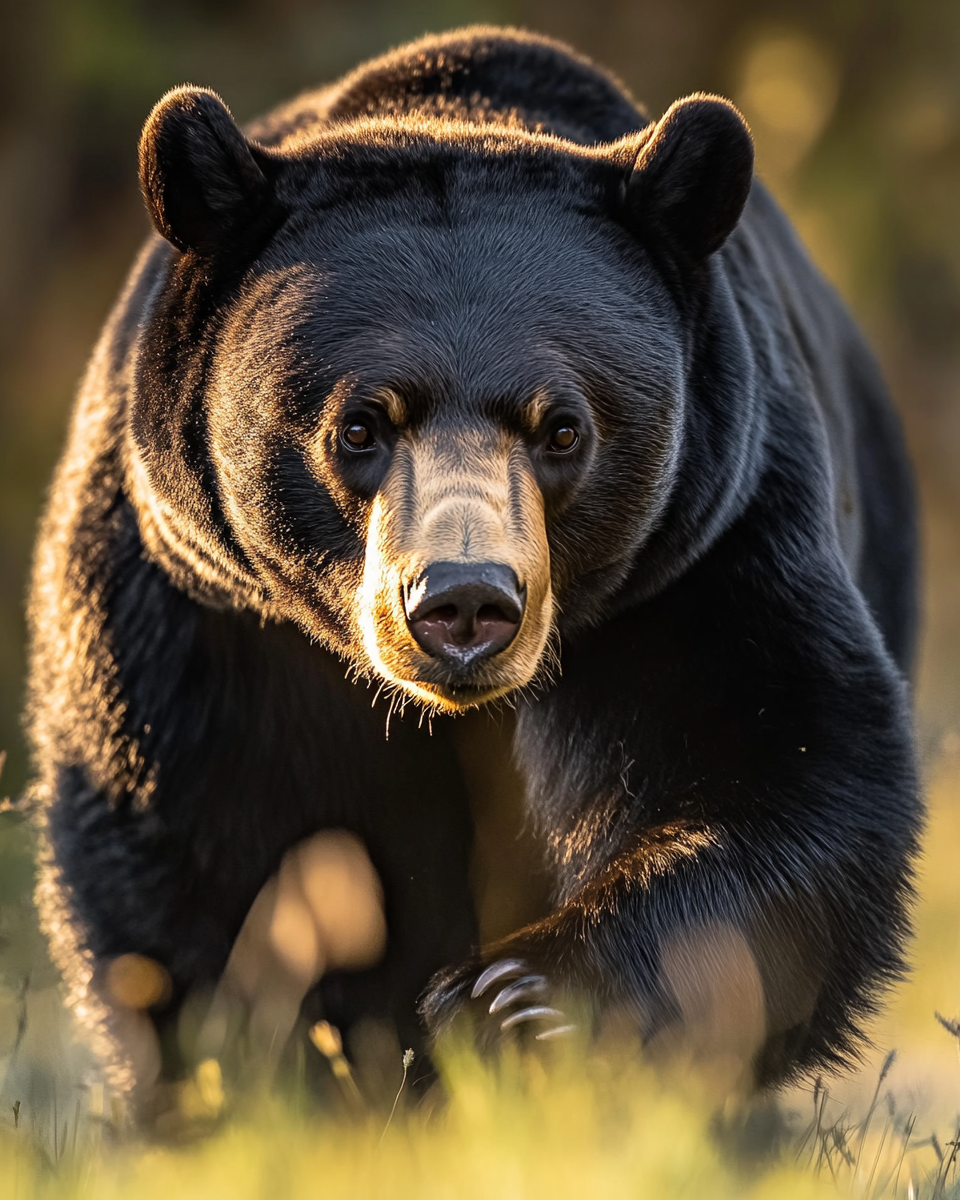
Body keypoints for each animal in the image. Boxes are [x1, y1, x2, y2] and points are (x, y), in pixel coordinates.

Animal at [26, 25, 916, 1099]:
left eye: (563, 427)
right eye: (360, 425)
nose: (461, 604)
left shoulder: (704, 549)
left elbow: (768, 771)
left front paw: (518, 1000)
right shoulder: (202, 605)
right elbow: (197, 836)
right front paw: (285, 1062)